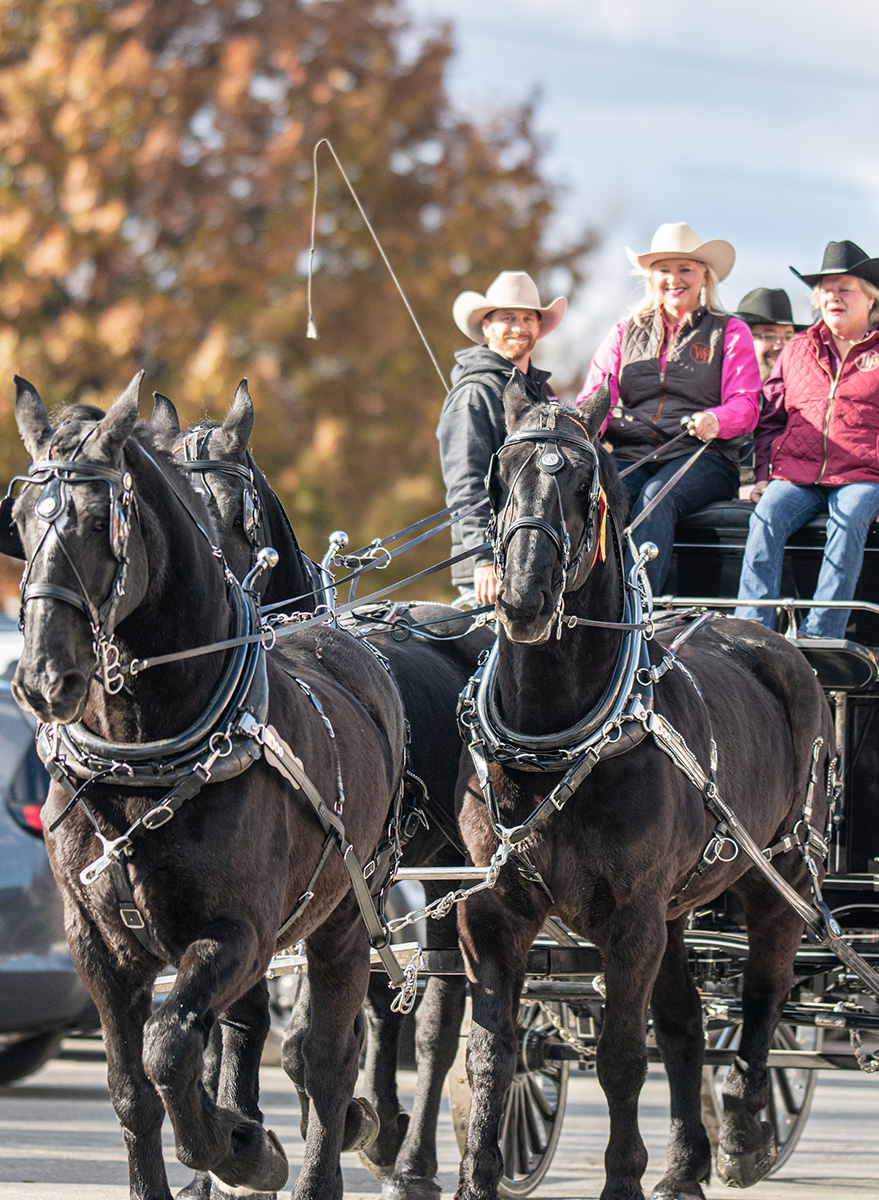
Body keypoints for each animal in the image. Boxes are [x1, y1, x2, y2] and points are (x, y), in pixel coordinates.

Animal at [7, 376, 405, 1200]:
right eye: (22, 520)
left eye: (98, 521)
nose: (40, 678)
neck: (142, 759)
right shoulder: (96, 947)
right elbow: (136, 1086)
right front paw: (214, 1149)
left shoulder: (240, 934)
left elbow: (170, 1047)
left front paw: (240, 1147)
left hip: (348, 915)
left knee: (326, 1056)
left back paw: (322, 1157)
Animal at [152, 384, 494, 1200]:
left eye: (237, 517)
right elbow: (245, 1025)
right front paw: (230, 1150)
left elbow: (313, 1033)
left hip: (439, 866)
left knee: (435, 1009)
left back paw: (408, 1155)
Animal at [453, 376, 835, 1200]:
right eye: (499, 479)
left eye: (584, 484)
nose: (523, 599)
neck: (557, 740)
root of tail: (774, 640)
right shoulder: (495, 913)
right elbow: (493, 1051)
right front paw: (477, 1176)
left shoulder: (630, 919)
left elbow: (623, 1057)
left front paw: (623, 1177)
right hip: (679, 904)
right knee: (688, 1025)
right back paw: (687, 1163)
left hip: (781, 872)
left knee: (765, 992)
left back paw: (745, 1126)